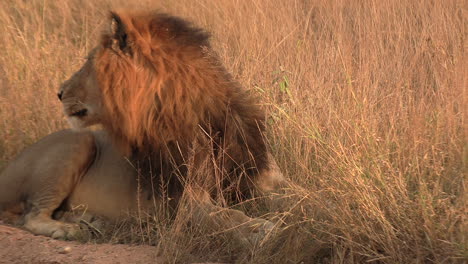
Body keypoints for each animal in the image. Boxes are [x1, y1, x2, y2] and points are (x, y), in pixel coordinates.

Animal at [0, 10, 286, 241]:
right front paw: (261, 229)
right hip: (79, 141)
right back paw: (70, 229)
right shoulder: (188, 204)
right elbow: (228, 218)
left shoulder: (263, 178)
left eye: (90, 63)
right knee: (31, 215)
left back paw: (90, 220)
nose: (59, 92)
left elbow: (288, 196)